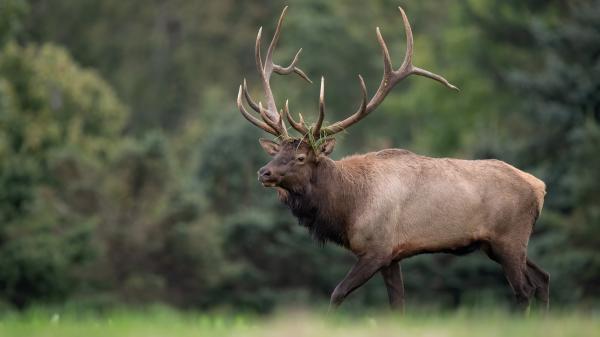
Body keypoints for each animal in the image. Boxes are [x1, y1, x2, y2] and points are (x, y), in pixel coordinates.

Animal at [234, 5, 548, 310]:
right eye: (278, 152)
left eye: (300, 157)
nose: (264, 172)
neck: (348, 207)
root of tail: (539, 186)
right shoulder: (393, 255)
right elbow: (397, 303)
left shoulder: (377, 248)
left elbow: (337, 294)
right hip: (498, 244)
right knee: (542, 279)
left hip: (509, 238)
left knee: (524, 290)